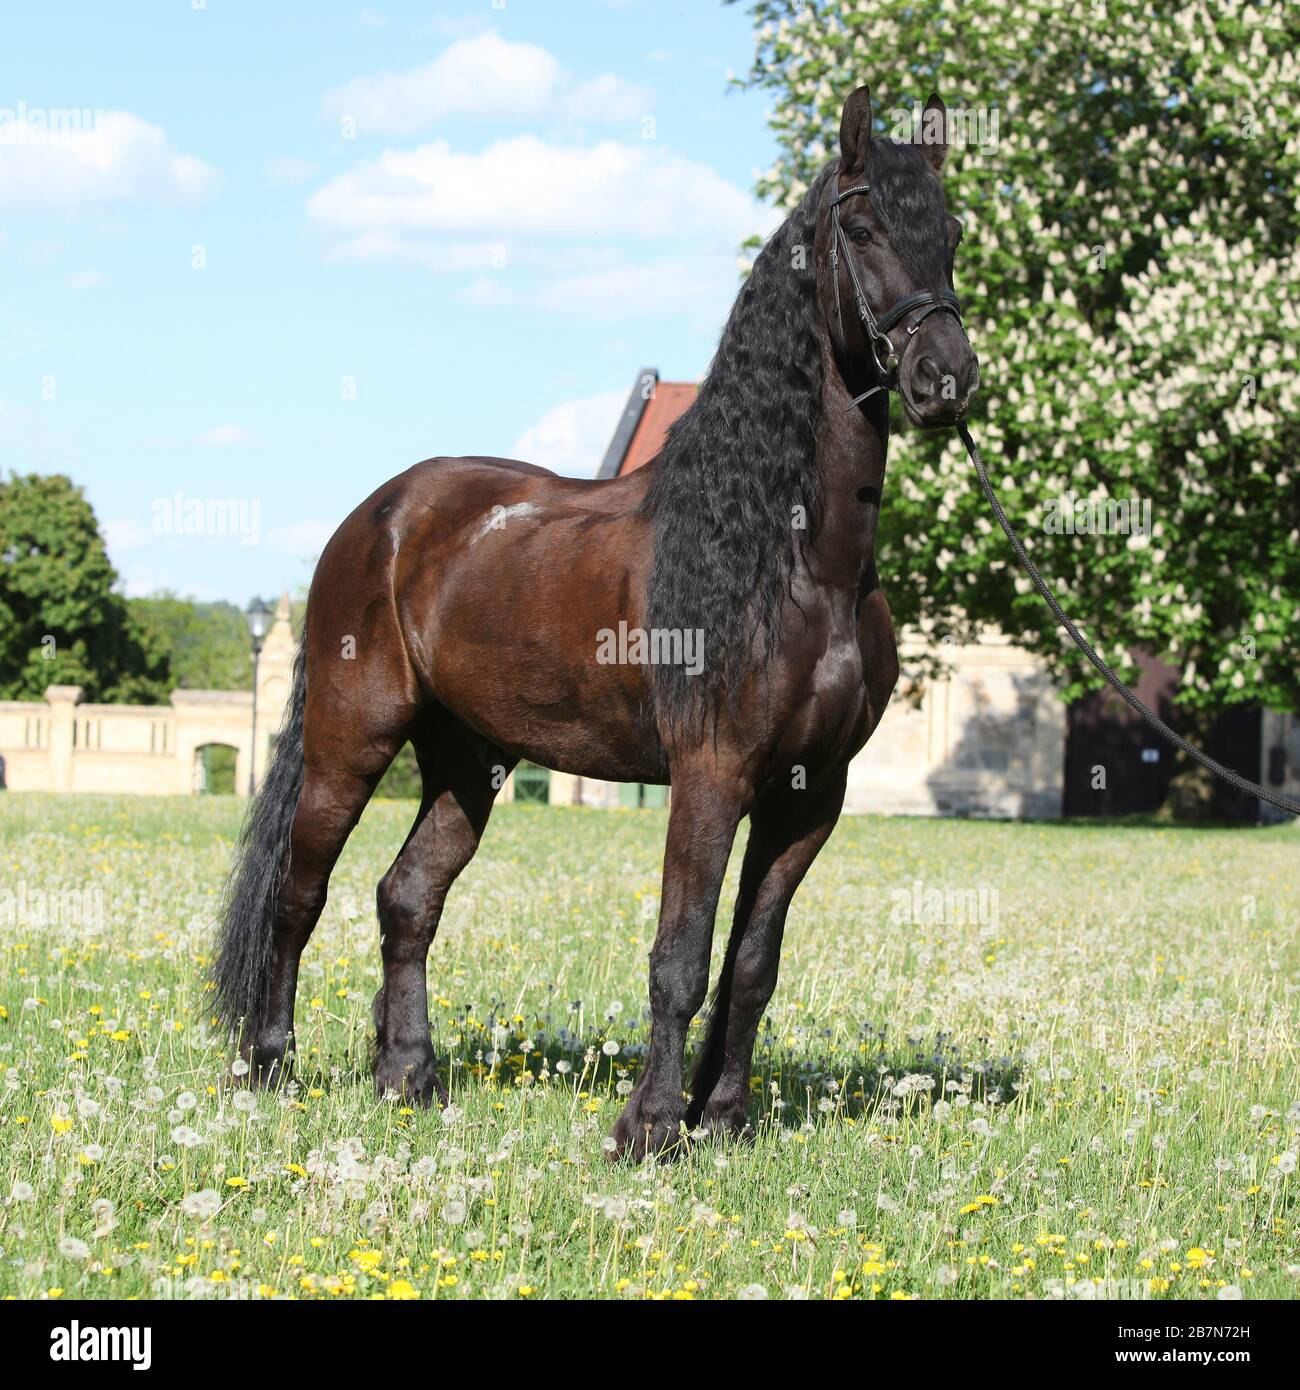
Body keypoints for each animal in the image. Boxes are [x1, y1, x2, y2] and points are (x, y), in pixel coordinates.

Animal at [213, 85, 980, 1160]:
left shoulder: (809, 797)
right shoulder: (711, 775)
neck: (792, 559)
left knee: (407, 898)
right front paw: (650, 1127)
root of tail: (382, 514)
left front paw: (723, 1121)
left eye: (950, 234)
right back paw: (269, 1068)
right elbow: (680, 955)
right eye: (863, 227)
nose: (945, 376)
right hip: (350, 736)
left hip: (469, 759)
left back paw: (409, 1080)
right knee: (300, 891)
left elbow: (753, 964)